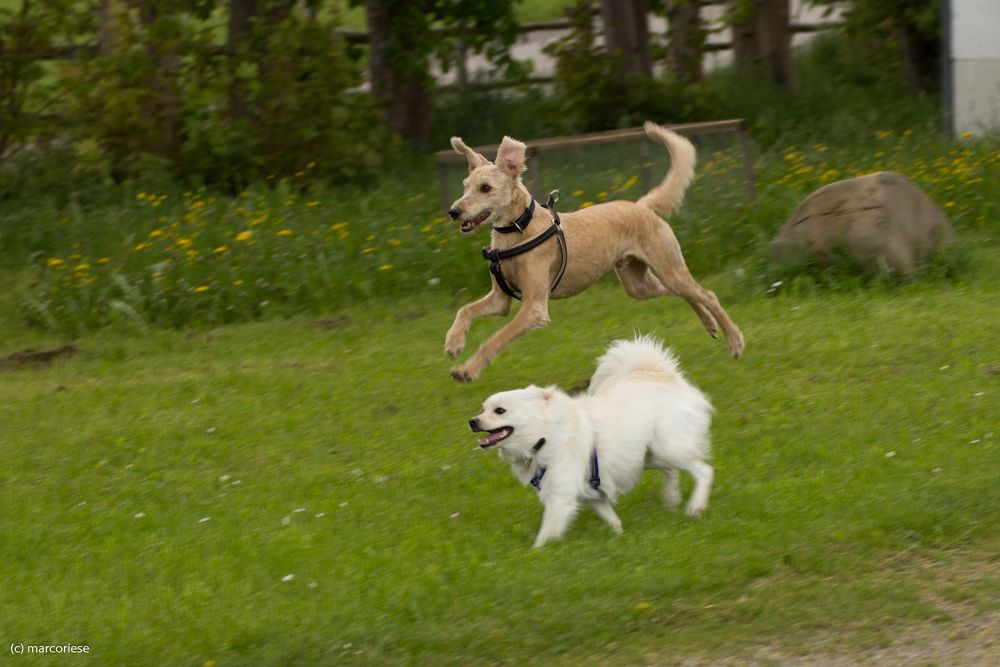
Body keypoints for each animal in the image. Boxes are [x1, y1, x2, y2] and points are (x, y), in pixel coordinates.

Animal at [446, 120, 744, 380]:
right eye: (465, 186)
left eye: (486, 188)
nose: (453, 211)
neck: (518, 230)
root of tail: (642, 206)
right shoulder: (500, 300)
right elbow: (464, 309)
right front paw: (453, 342)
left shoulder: (534, 307)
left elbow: (494, 339)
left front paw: (467, 370)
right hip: (640, 285)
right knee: (685, 294)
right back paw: (710, 324)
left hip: (669, 268)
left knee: (707, 294)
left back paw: (734, 340)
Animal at [466, 334, 712, 548]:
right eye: (482, 409)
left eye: (499, 411)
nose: (472, 421)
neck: (545, 436)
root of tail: (661, 375)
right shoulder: (591, 493)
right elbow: (612, 518)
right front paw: (620, 535)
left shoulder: (560, 498)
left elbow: (545, 536)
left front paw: (534, 555)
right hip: (647, 456)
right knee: (671, 470)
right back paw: (672, 500)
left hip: (667, 447)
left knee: (704, 471)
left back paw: (695, 507)